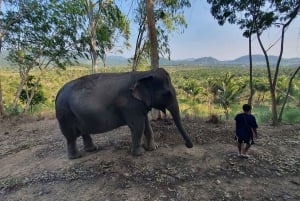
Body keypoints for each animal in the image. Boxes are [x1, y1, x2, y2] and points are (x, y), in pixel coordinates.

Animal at [55, 68, 193, 159]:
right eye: (168, 94)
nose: (189, 146)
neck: (143, 73)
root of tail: (58, 93)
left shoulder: (140, 104)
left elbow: (146, 124)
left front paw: (153, 148)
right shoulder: (130, 105)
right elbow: (138, 125)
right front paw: (140, 153)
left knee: (84, 132)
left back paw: (92, 150)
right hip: (65, 115)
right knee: (70, 137)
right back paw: (76, 157)